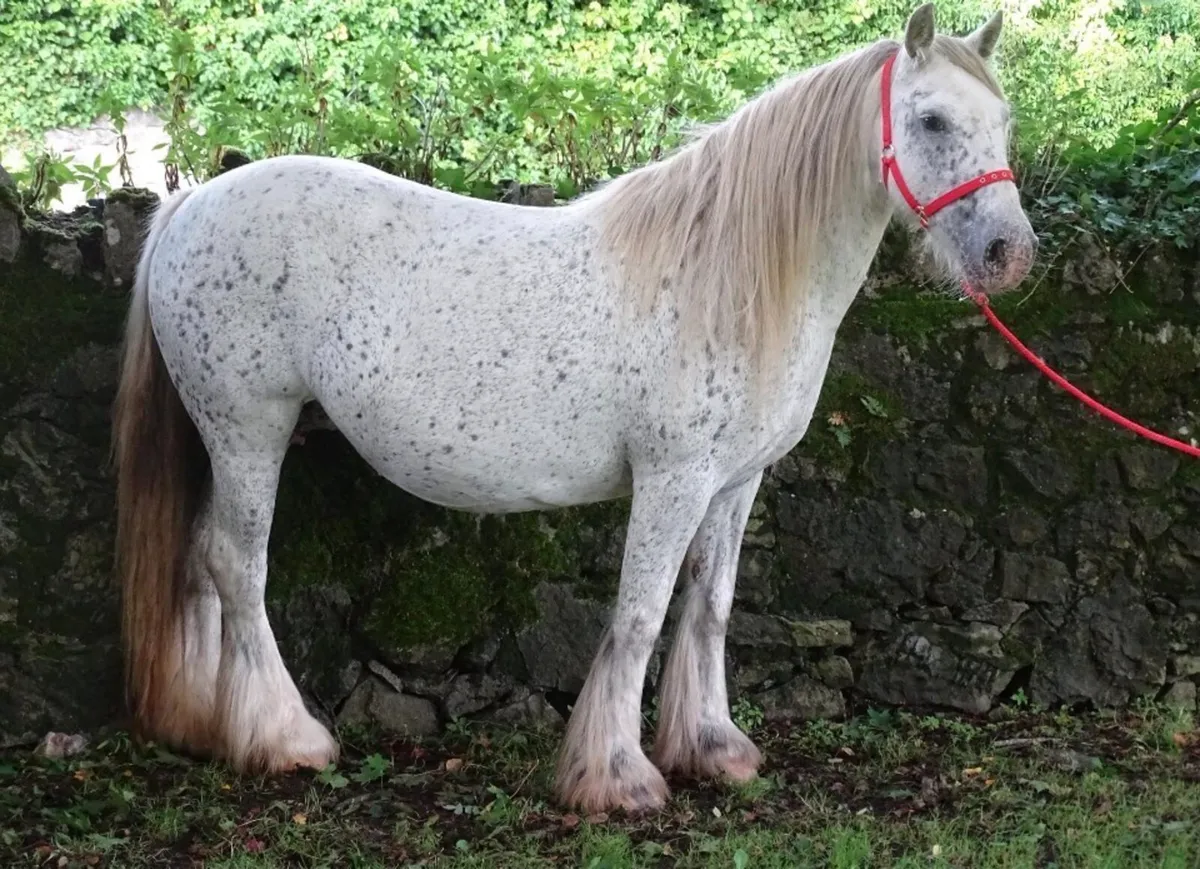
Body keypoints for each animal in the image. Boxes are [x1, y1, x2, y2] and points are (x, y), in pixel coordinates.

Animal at [112, 2, 1034, 814]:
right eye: (931, 121)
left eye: (1003, 120)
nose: (1010, 253)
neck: (728, 275)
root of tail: (190, 203)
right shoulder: (672, 478)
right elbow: (639, 615)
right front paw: (617, 778)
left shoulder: (735, 482)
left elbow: (709, 605)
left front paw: (712, 748)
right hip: (250, 430)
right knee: (238, 567)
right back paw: (285, 738)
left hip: (228, 442)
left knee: (200, 559)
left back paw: (207, 724)